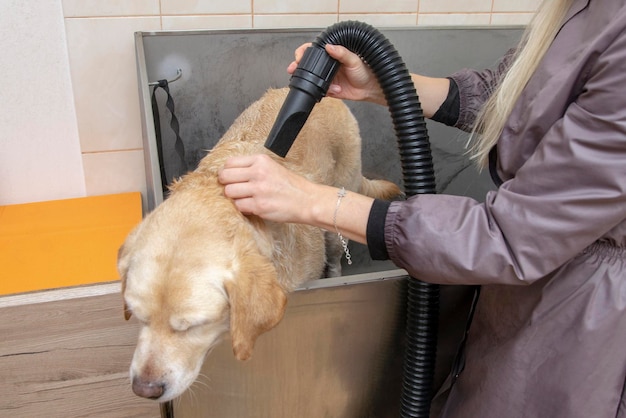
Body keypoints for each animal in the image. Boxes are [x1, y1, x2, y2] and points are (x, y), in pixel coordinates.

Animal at [117, 87, 400, 402]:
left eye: (194, 326)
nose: (144, 389)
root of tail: (329, 98)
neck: (222, 198)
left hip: (338, 212)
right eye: (137, 316)